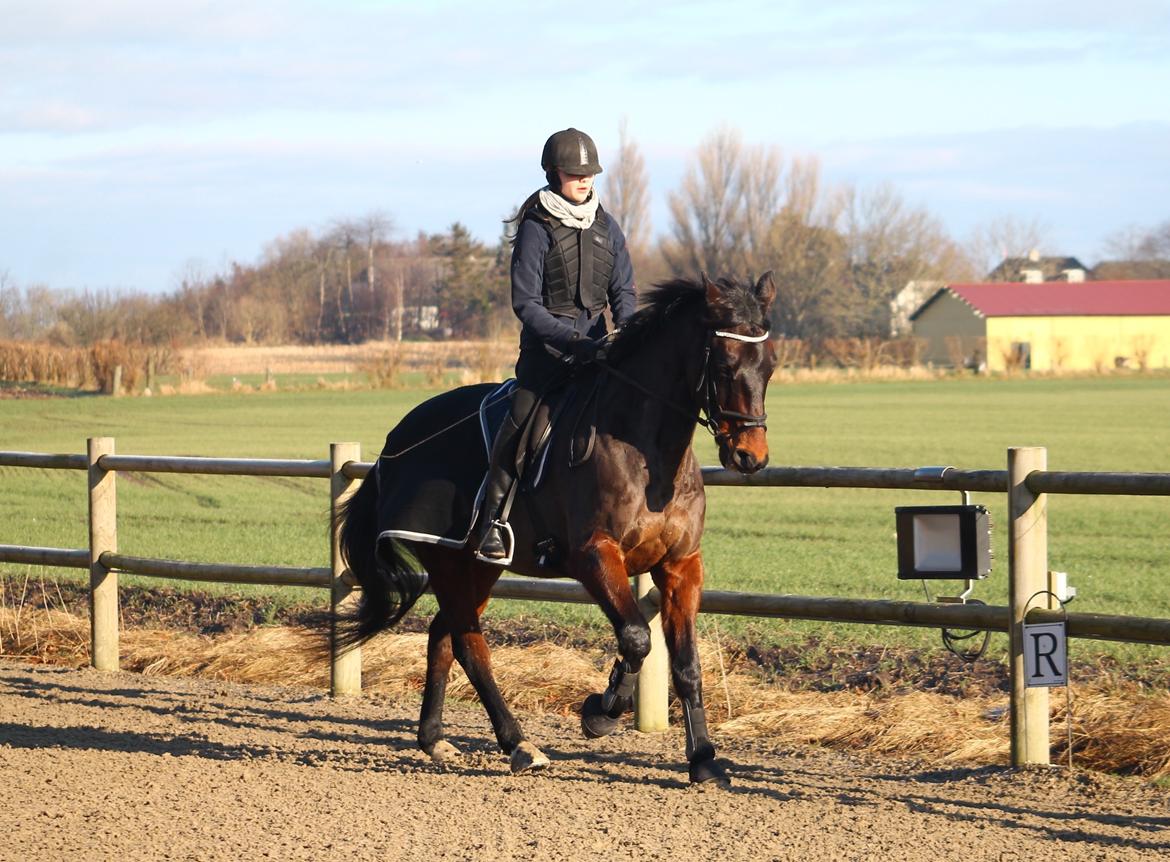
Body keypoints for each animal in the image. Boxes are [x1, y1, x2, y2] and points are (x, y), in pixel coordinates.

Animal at [336, 272, 776, 781]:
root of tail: (395, 440)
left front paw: (703, 758)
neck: (647, 454)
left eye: (770, 365)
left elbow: (686, 663)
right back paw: (518, 744)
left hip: (478, 566)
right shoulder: (594, 555)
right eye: (724, 364)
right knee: (468, 644)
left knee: (443, 637)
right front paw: (601, 711)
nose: (750, 456)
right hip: (448, 561)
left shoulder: (680, 564)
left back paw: (435, 740)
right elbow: (637, 637)